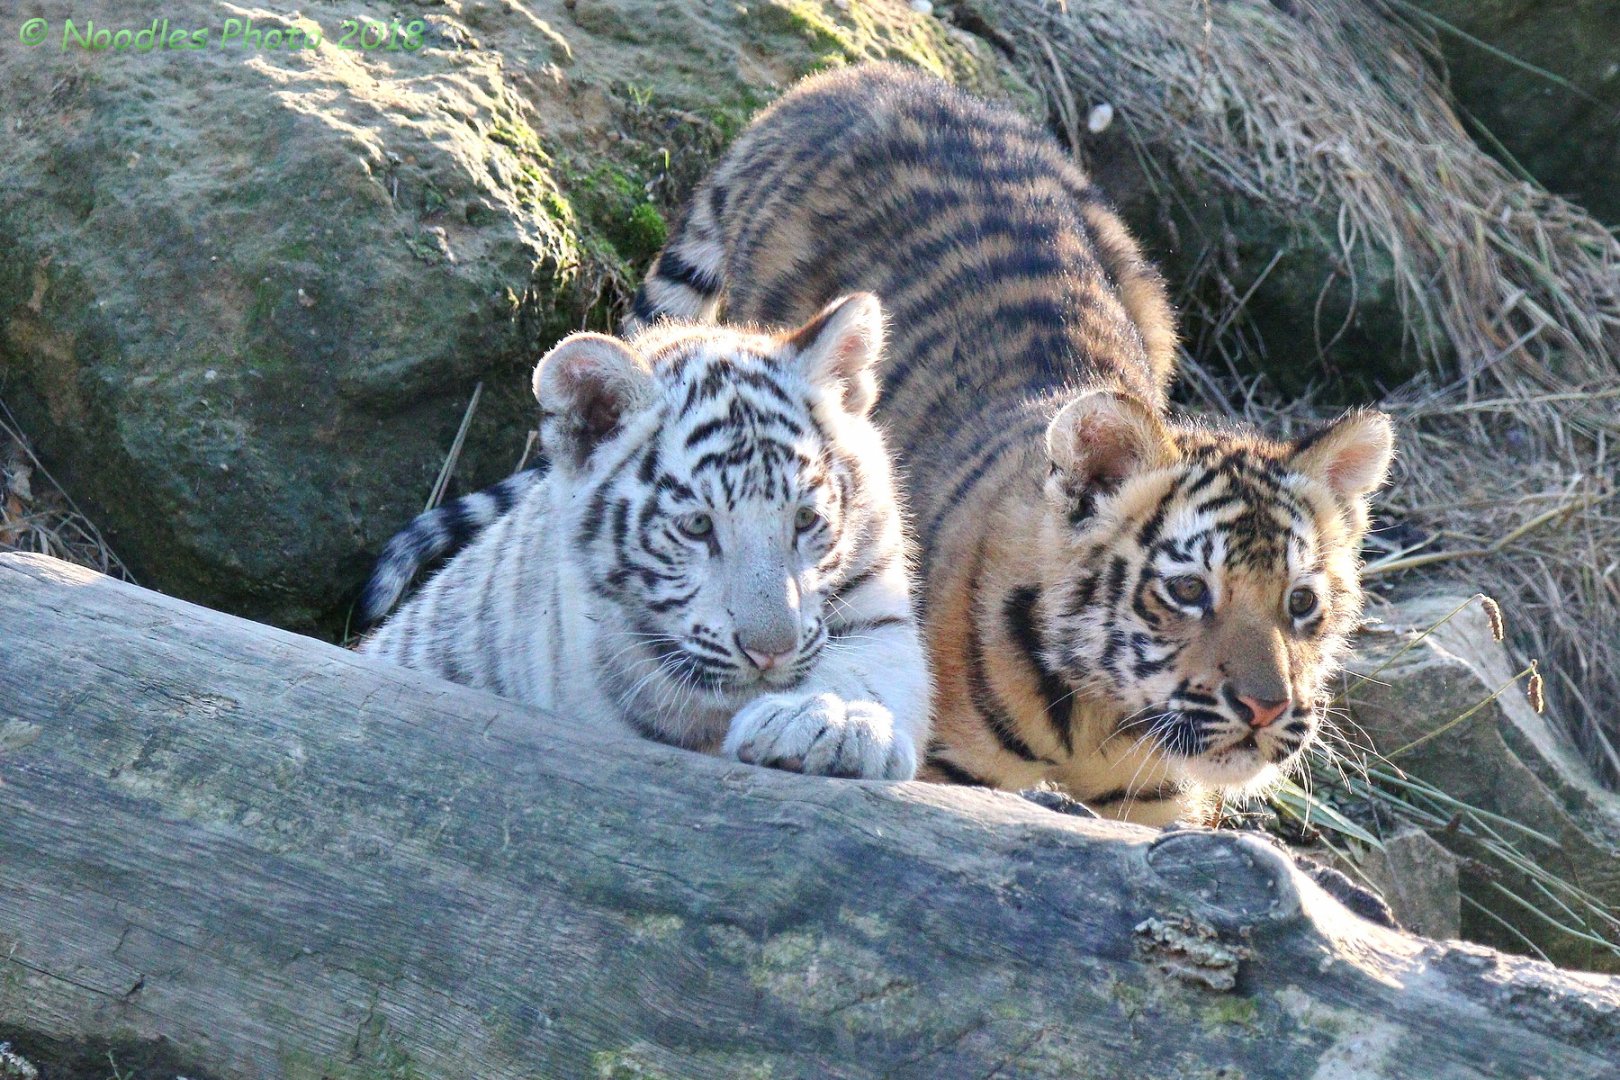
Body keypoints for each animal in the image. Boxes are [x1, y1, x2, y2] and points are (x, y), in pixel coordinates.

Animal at [358, 294, 931, 781]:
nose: (770, 654)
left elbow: (866, 666)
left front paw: (830, 724)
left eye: (806, 519)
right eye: (698, 526)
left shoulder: (881, 604)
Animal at [627, 63, 1395, 826]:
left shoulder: (1155, 813)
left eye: (1302, 602)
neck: (1103, 725)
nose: (1265, 709)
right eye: (1186, 591)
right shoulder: (945, 767)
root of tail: (845, 77)